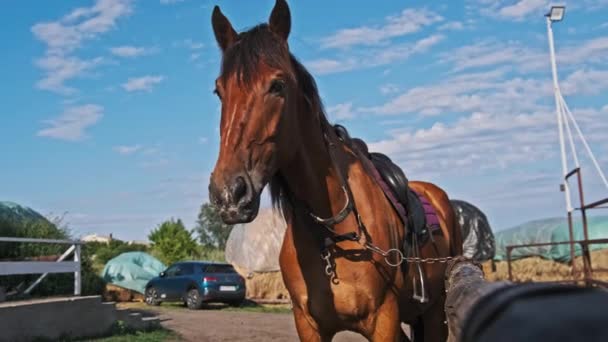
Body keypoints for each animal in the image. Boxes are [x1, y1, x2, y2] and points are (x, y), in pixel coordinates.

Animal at [207, 1, 464, 340]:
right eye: (219, 91)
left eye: (277, 85)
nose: (229, 194)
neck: (330, 236)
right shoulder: (308, 324)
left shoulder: (384, 321)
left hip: (435, 314)